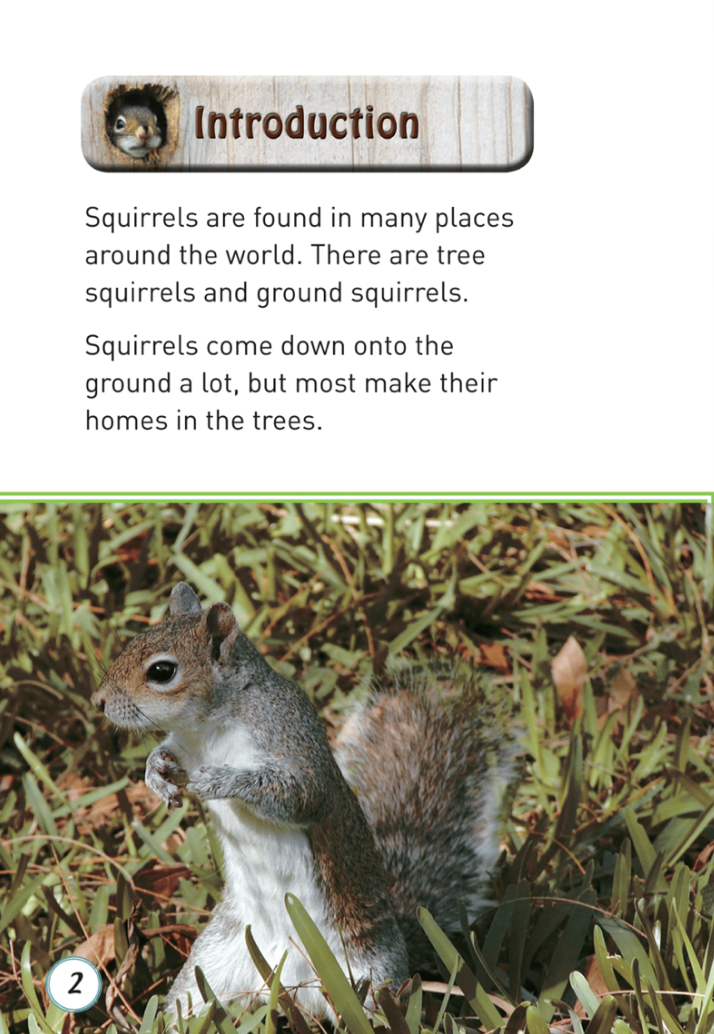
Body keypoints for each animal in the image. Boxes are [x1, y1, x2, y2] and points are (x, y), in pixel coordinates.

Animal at [92, 583, 519, 1022]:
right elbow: (166, 752)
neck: (209, 726)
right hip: (209, 971)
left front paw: (224, 780)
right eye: (133, 642)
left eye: (162, 671)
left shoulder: (290, 737)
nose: (98, 701)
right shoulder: (186, 744)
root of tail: (290, 988)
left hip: (370, 977)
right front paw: (154, 773)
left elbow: (303, 796)